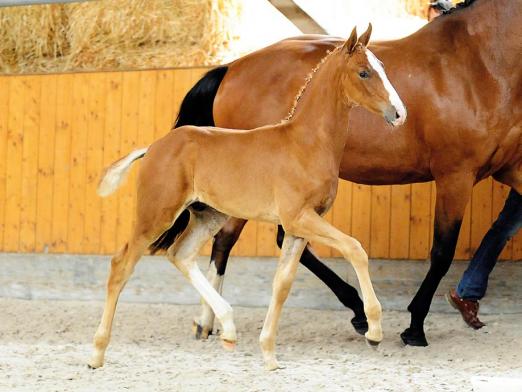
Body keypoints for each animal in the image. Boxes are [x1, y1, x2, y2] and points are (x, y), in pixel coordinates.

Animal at [91, 26, 404, 370]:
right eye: (364, 72)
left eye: (382, 68)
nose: (399, 114)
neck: (306, 143)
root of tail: (154, 147)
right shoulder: (299, 217)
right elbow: (355, 248)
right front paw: (374, 330)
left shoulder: (298, 227)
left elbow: (282, 284)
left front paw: (268, 354)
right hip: (156, 215)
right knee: (121, 265)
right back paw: (97, 353)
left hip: (208, 214)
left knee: (180, 254)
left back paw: (227, 327)